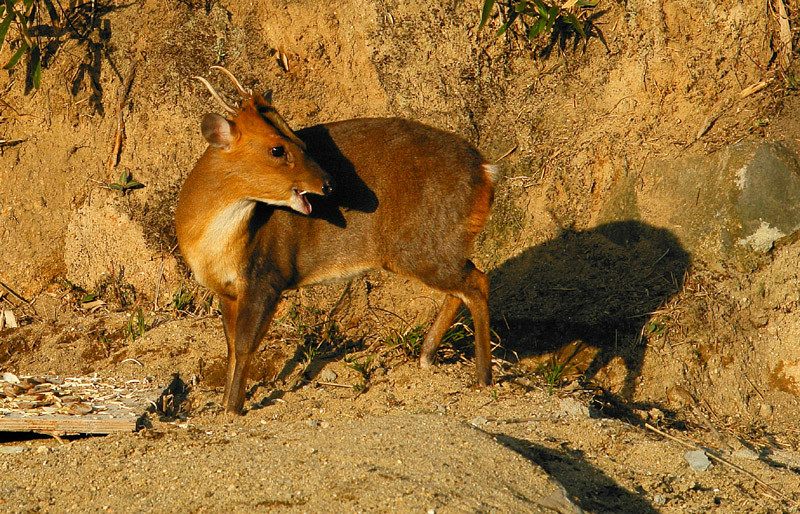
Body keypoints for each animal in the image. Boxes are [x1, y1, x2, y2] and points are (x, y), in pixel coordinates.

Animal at [178, 68, 496, 412]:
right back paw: (427, 357)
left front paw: (233, 409)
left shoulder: (267, 275)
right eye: (277, 149)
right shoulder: (226, 289)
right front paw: (225, 401)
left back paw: (483, 377)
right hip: (440, 244)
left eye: (300, 141)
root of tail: (486, 171)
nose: (328, 184)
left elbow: (245, 344)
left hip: (422, 245)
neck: (215, 245)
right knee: (465, 282)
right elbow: (231, 344)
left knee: (477, 282)